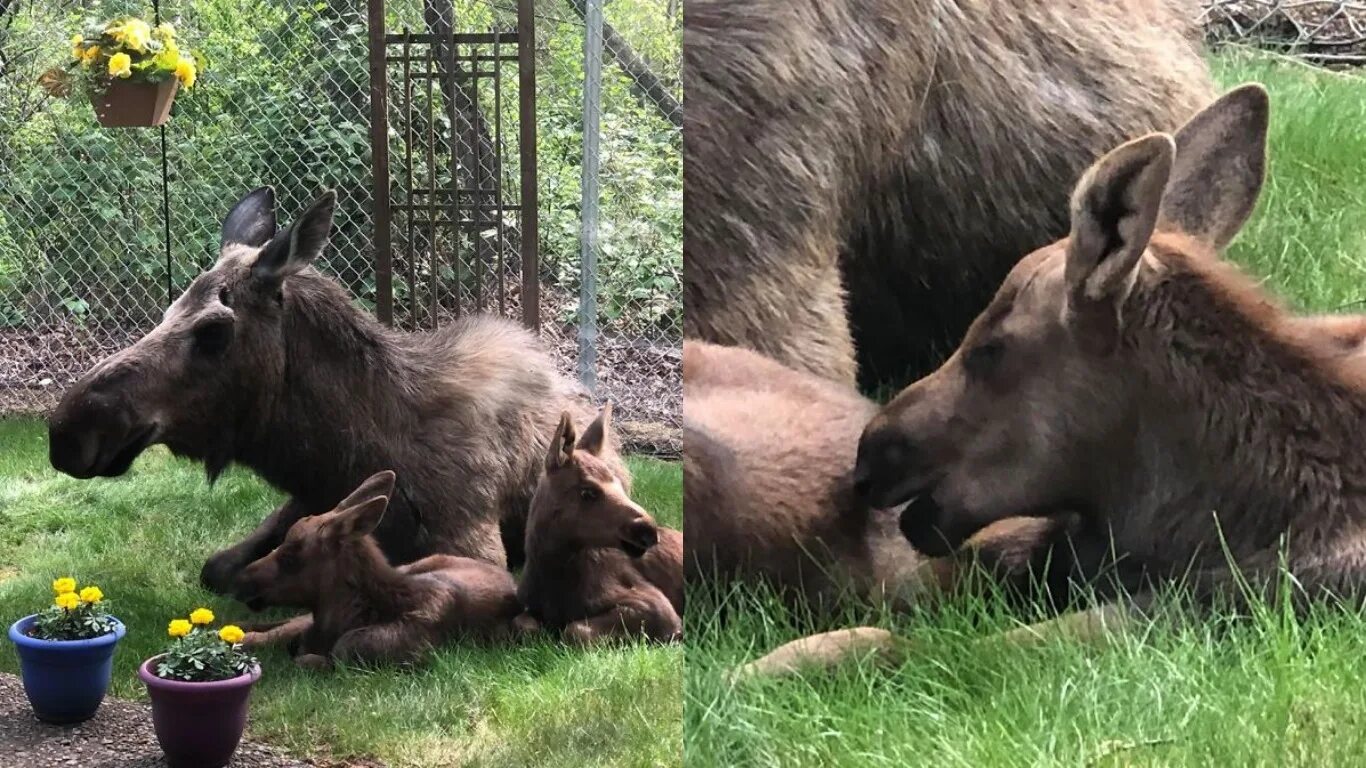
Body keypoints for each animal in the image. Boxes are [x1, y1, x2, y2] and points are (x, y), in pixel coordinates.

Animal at [46, 187, 625, 593]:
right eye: (167, 312)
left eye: (213, 331)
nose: (68, 430)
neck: (345, 452)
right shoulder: (303, 498)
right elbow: (217, 567)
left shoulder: (473, 541)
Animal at [513, 404, 683, 642]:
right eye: (588, 492)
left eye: (621, 485)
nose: (648, 531)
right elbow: (523, 625)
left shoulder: (659, 608)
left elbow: (574, 630)